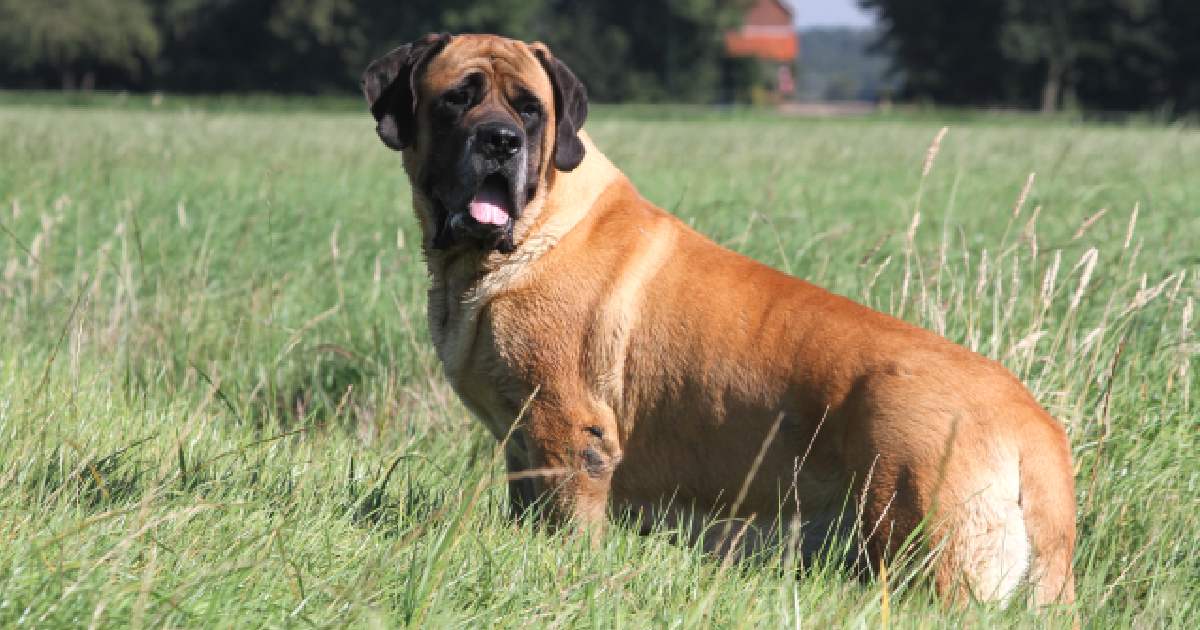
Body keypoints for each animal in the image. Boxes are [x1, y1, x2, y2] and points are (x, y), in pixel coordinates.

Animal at [357, 33, 1080, 604]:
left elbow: (567, 528)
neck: (524, 236)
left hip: (914, 525)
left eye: (529, 109)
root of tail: (1033, 429)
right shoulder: (523, 442)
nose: (501, 141)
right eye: (458, 98)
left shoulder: (569, 433)